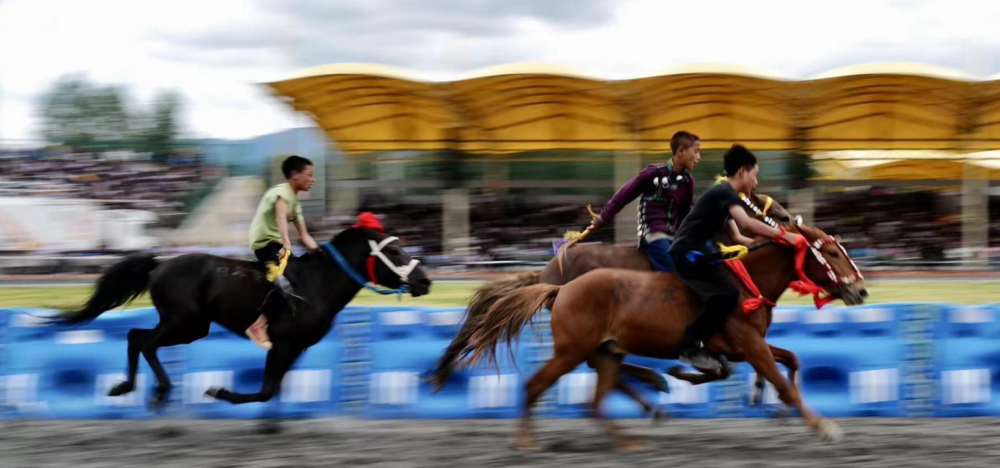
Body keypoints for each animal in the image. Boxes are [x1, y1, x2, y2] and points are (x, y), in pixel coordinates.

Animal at [53, 219, 430, 420]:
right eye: (394, 251)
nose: (425, 281)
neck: (318, 284)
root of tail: (159, 264)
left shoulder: (296, 347)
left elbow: (274, 390)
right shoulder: (282, 343)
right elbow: (265, 390)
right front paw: (219, 391)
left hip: (189, 327)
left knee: (135, 335)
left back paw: (127, 387)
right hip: (184, 323)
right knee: (145, 342)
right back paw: (156, 391)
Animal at [430, 190, 796, 414]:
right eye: (757, 202)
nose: (792, 220)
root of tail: (546, 272)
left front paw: (761, 388)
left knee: (603, 361)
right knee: (600, 362)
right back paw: (652, 385)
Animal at [468, 221, 868, 452]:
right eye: (831, 253)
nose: (861, 291)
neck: (746, 284)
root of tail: (558, 286)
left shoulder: (748, 345)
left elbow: (791, 360)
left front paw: (769, 400)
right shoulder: (748, 344)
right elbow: (780, 378)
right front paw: (822, 426)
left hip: (604, 351)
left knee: (596, 400)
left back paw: (632, 437)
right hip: (570, 351)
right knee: (537, 385)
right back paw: (525, 440)